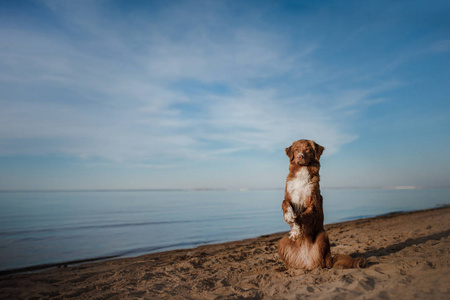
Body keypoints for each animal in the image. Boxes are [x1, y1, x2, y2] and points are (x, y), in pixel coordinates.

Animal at [276, 140, 368, 270]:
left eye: (307, 149)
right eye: (296, 149)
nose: (299, 156)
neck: (302, 171)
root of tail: (307, 263)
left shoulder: (314, 205)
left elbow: (300, 216)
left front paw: (295, 229)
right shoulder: (289, 196)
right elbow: (284, 202)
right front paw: (289, 215)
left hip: (323, 236)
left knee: (323, 263)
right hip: (281, 242)